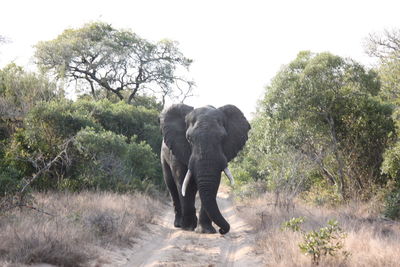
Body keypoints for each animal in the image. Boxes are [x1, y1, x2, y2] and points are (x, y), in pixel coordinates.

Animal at [160, 104, 250, 234]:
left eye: (223, 138)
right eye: (189, 138)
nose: (222, 230)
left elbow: (213, 183)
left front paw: (206, 231)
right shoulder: (178, 150)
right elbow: (182, 182)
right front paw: (188, 228)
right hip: (163, 156)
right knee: (171, 185)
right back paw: (178, 224)